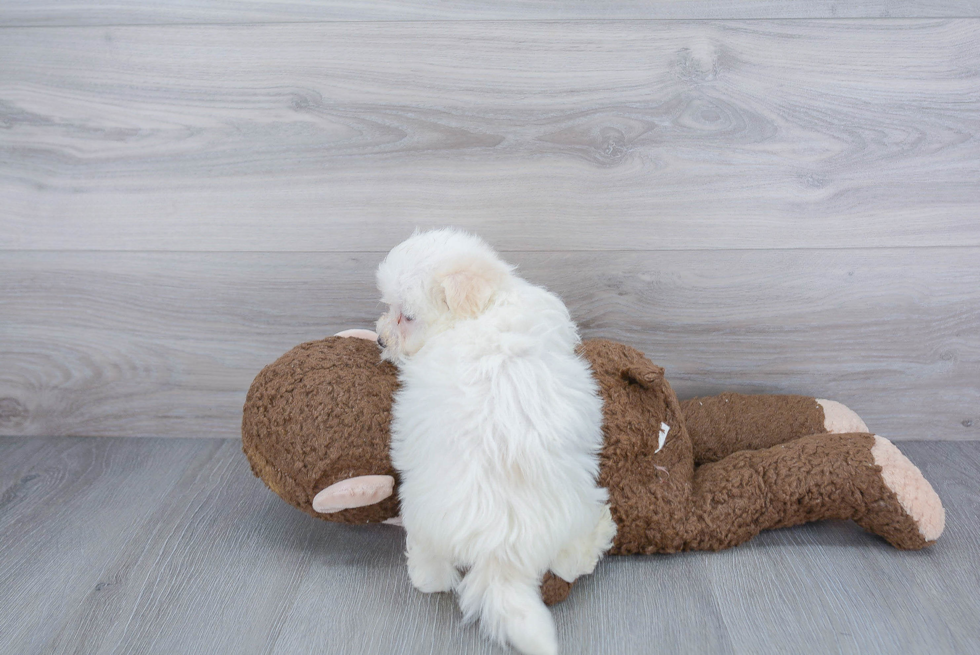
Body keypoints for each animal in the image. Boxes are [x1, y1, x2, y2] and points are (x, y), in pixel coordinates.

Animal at [374, 227, 612, 655]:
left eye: (408, 316)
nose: (381, 341)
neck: (480, 311)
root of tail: (500, 550)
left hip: (427, 514)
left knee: (431, 576)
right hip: (573, 505)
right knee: (570, 562)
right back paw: (602, 530)